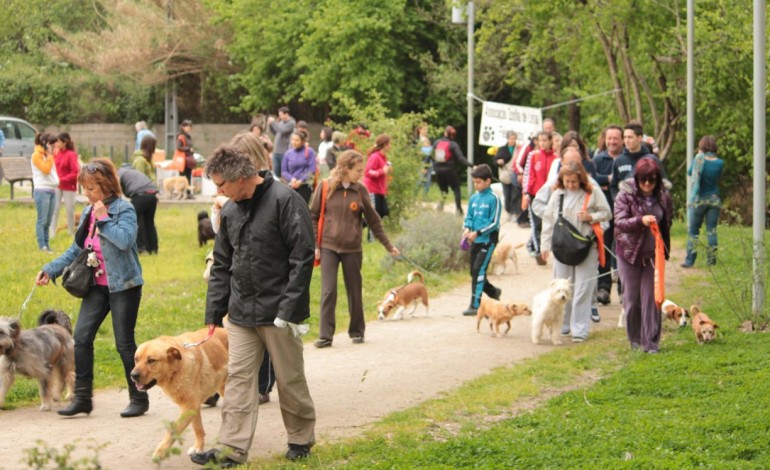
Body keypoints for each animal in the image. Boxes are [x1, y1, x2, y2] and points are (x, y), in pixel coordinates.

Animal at [129, 324, 230, 460]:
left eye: (151, 360)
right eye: (136, 359)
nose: (133, 375)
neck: (177, 369)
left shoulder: (189, 407)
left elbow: (173, 430)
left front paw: (160, 452)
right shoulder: (192, 407)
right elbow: (198, 430)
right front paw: (199, 448)